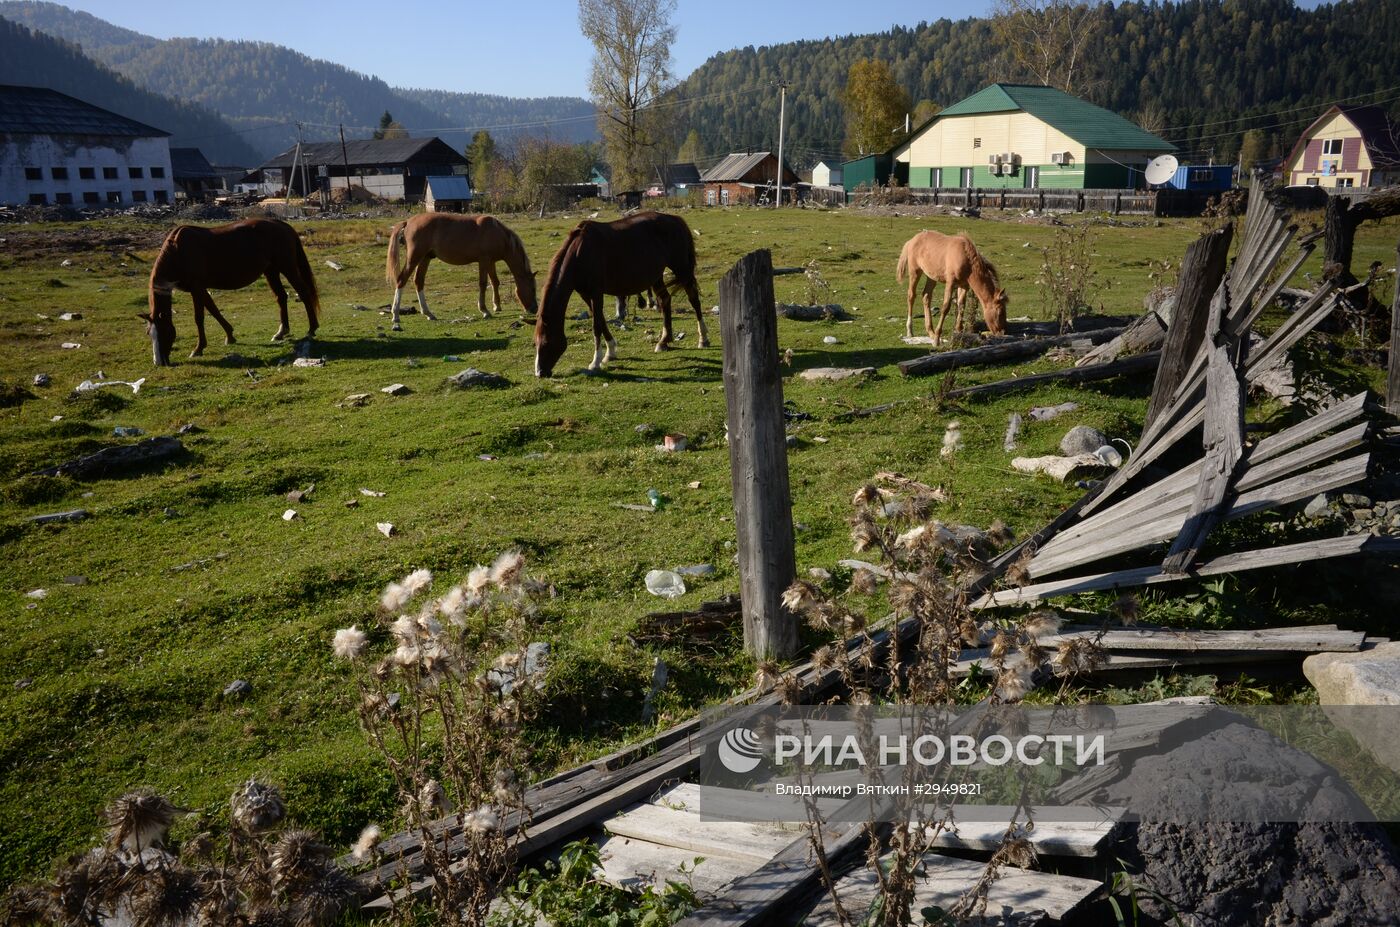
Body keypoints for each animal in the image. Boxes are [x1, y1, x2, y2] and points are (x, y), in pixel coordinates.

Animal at [147, 218, 322, 366]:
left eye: (164, 332)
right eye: (149, 333)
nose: (158, 363)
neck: (179, 251)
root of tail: (282, 224)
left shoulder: (197, 288)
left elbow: (199, 318)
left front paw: (198, 349)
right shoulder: (200, 289)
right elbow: (214, 310)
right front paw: (230, 336)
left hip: (287, 267)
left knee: (304, 292)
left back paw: (311, 329)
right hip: (271, 271)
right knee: (281, 297)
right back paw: (281, 332)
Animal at [386, 214, 537, 330]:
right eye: (532, 289)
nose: (534, 309)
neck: (497, 232)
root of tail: (409, 221)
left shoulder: (491, 262)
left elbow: (495, 281)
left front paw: (496, 306)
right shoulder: (484, 261)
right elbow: (483, 283)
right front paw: (484, 310)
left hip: (425, 258)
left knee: (418, 281)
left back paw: (428, 313)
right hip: (415, 257)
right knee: (402, 280)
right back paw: (396, 315)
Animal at [534, 212, 711, 378]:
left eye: (546, 342)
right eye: (535, 343)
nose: (540, 373)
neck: (580, 253)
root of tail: (676, 219)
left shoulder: (596, 293)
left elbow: (596, 325)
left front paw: (595, 362)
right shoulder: (585, 294)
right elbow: (601, 320)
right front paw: (610, 352)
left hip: (681, 268)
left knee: (693, 298)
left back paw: (703, 339)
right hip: (656, 276)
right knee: (665, 300)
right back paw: (664, 341)